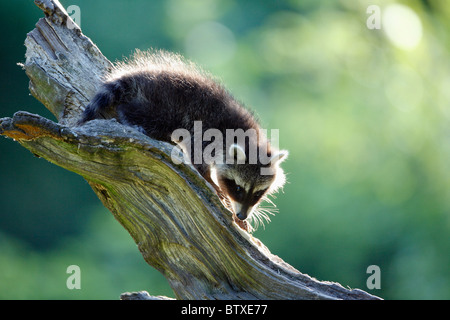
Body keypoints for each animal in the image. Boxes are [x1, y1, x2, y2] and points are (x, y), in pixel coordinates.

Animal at [78, 49, 288, 230]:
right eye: (238, 188)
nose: (242, 215)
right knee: (141, 113)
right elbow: (198, 159)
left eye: (258, 193)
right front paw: (213, 185)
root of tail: (138, 76)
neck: (248, 139)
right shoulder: (207, 133)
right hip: (162, 107)